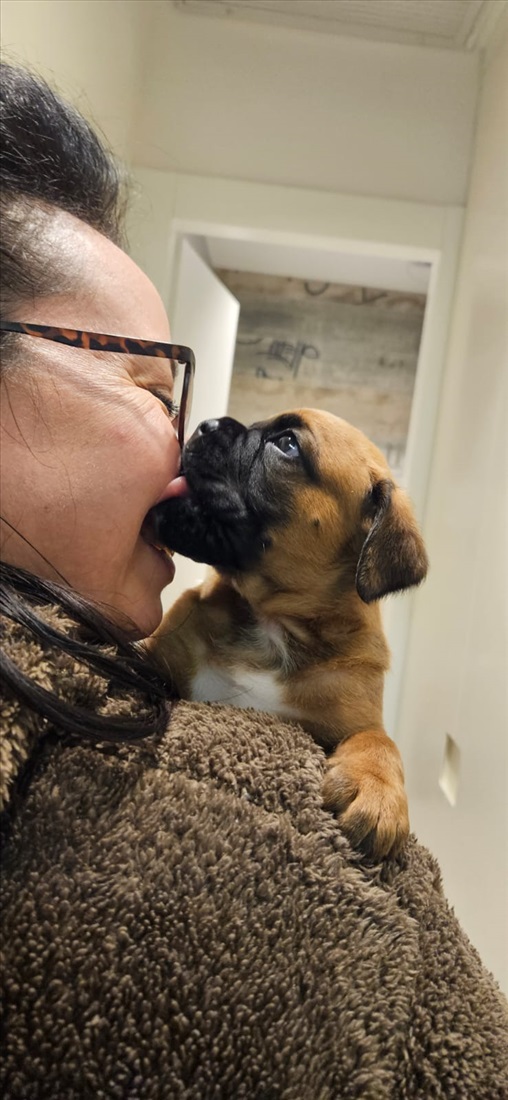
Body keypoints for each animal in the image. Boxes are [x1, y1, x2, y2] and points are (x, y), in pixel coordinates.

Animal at [147, 407, 428, 858]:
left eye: (288, 445)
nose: (206, 425)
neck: (271, 623)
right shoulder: (159, 654)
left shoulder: (357, 716)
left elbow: (382, 743)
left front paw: (377, 792)